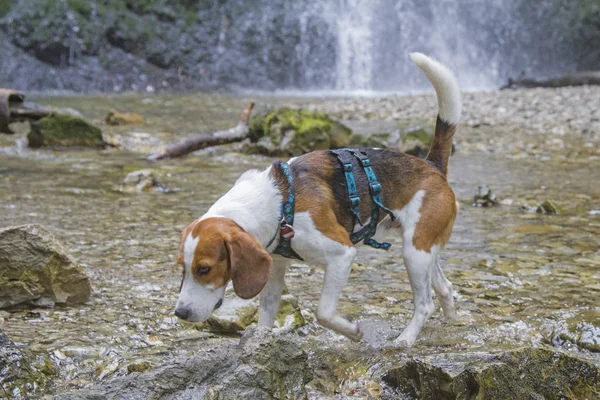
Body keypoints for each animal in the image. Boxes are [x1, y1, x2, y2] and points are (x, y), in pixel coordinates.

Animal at [173, 52, 460, 346]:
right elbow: (266, 315)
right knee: (445, 287)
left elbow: (323, 312)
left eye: (204, 269)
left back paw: (405, 339)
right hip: (423, 249)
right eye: (182, 268)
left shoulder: (342, 254)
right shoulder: (273, 268)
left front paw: (353, 332)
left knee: (425, 304)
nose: (180, 313)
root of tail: (432, 165)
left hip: (414, 253)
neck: (276, 202)